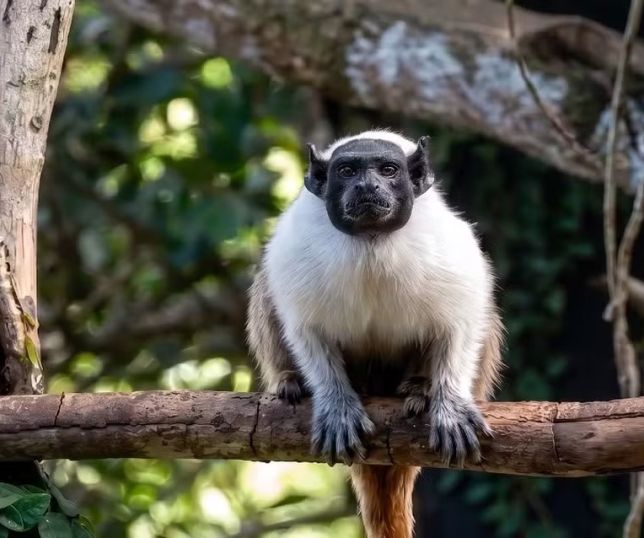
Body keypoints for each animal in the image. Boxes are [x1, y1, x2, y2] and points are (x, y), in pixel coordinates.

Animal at [247, 130, 504, 538]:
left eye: (387, 170)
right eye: (348, 171)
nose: (368, 186)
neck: (371, 242)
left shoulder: (449, 246)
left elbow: (461, 320)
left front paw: (449, 404)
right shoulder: (296, 249)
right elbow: (306, 330)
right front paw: (337, 405)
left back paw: (420, 388)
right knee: (265, 287)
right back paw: (290, 381)